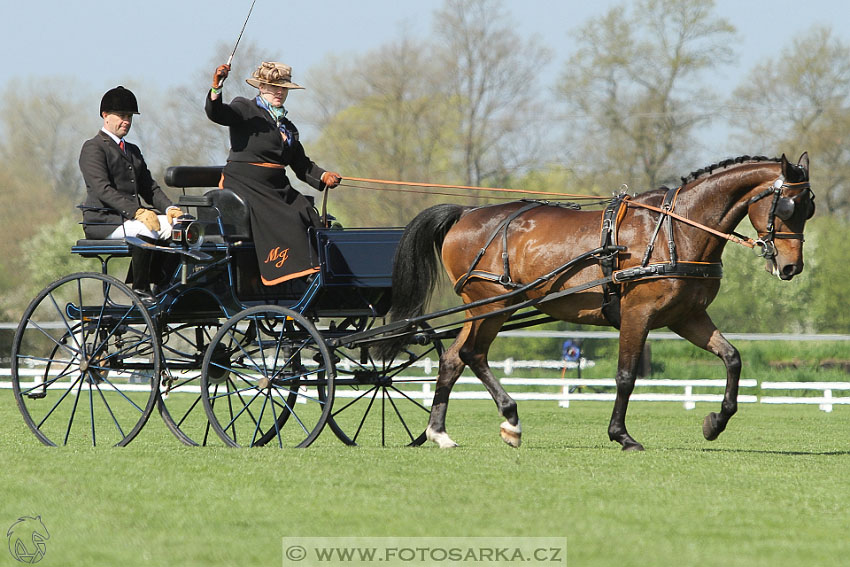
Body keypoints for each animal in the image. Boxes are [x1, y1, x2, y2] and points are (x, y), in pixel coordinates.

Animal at [380, 153, 816, 450]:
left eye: (808, 208)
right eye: (787, 206)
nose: (791, 267)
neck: (676, 228)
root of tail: (466, 212)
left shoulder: (687, 316)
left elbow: (732, 358)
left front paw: (715, 422)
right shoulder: (638, 314)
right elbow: (625, 376)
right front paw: (622, 435)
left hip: (480, 309)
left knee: (454, 359)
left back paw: (439, 432)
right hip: (491, 305)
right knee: (473, 354)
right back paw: (511, 419)